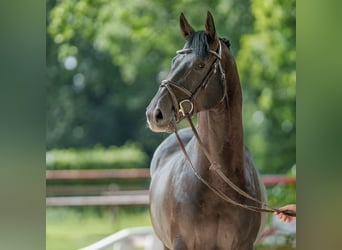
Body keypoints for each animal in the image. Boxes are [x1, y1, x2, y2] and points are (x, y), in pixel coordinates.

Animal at [146, 11, 266, 250]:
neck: (219, 183)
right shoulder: (180, 244)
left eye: (200, 65)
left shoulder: (244, 245)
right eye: (174, 62)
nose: (155, 113)